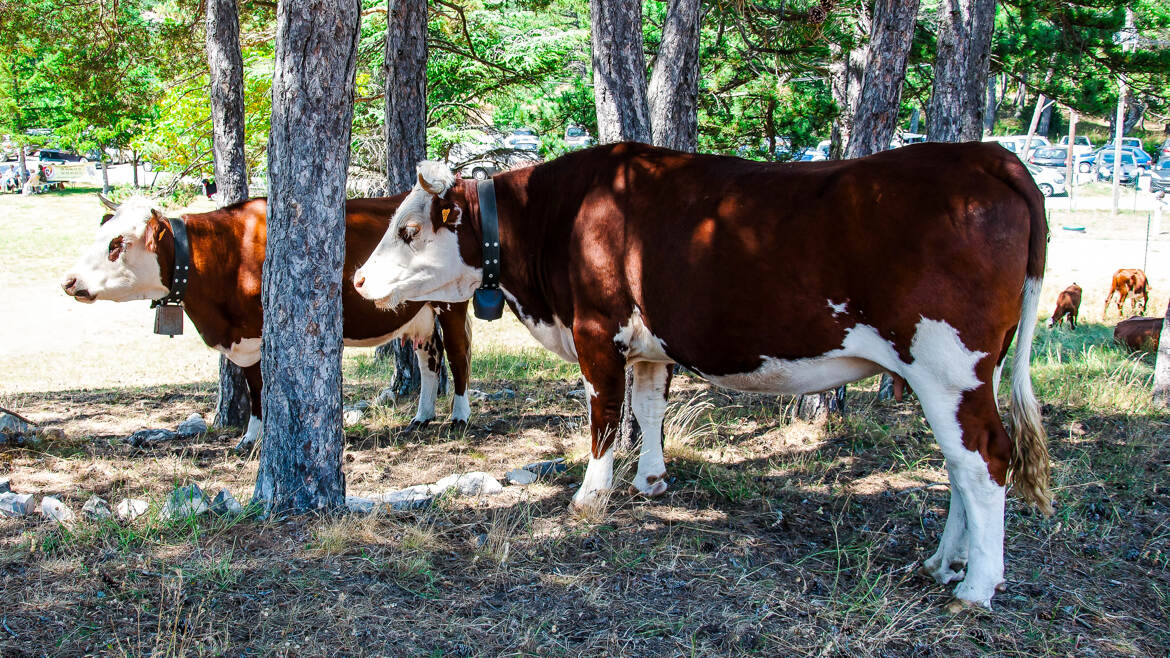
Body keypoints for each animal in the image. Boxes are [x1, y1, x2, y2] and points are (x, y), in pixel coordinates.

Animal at [61, 193, 472, 449]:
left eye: (116, 243)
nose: (69, 281)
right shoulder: (242, 338)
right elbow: (253, 386)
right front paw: (252, 436)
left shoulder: (258, 334)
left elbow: (260, 388)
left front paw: (255, 436)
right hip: (421, 312)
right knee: (429, 357)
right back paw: (422, 416)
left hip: (451, 303)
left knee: (457, 355)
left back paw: (459, 417)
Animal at [351, 141, 1057, 608]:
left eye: (407, 229)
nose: (357, 279)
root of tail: (987, 155)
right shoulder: (650, 345)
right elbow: (649, 406)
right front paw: (651, 480)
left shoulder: (596, 331)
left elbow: (604, 415)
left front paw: (590, 496)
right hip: (959, 374)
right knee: (962, 464)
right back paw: (943, 562)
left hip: (947, 364)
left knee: (985, 460)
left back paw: (975, 585)